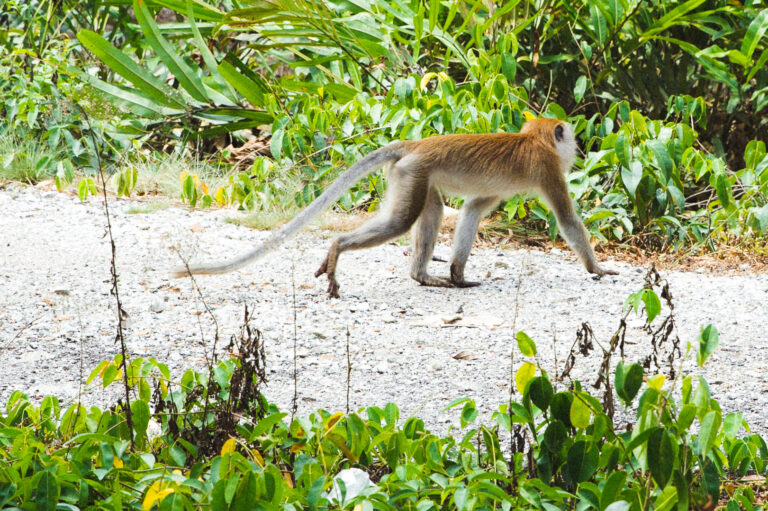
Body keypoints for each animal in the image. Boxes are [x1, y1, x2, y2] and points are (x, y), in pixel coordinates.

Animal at [171, 118, 616, 298]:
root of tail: (415, 144)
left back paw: (423, 276)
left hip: (413, 174)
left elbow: (473, 209)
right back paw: (338, 249)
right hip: (413, 172)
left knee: (430, 211)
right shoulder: (548, 170)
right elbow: (567, 219)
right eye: (569, 140)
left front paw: (457, 273)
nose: (578, 150)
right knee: (403, 221)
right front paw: (598, 268)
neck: (534, 139)